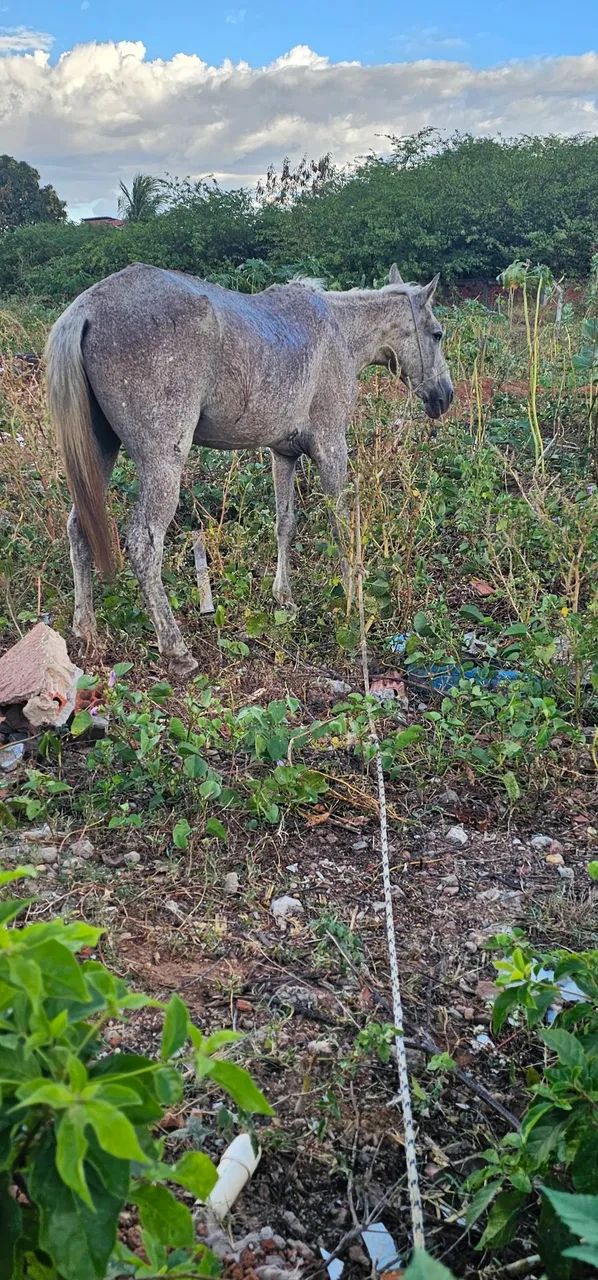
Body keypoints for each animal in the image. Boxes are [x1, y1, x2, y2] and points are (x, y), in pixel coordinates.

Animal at [45, 261, 453, 676]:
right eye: (437, 334)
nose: (445, 396)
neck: (337, 330)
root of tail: (84, 311)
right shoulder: (331, 449)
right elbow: (340, 525)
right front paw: (353, 601)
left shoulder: (283, 454)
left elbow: (285, 523)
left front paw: (284, 597)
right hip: (162, 465)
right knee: (144, 544)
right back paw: (176, 650)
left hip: (99, 456)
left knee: (78, 528)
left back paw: (86, 629)